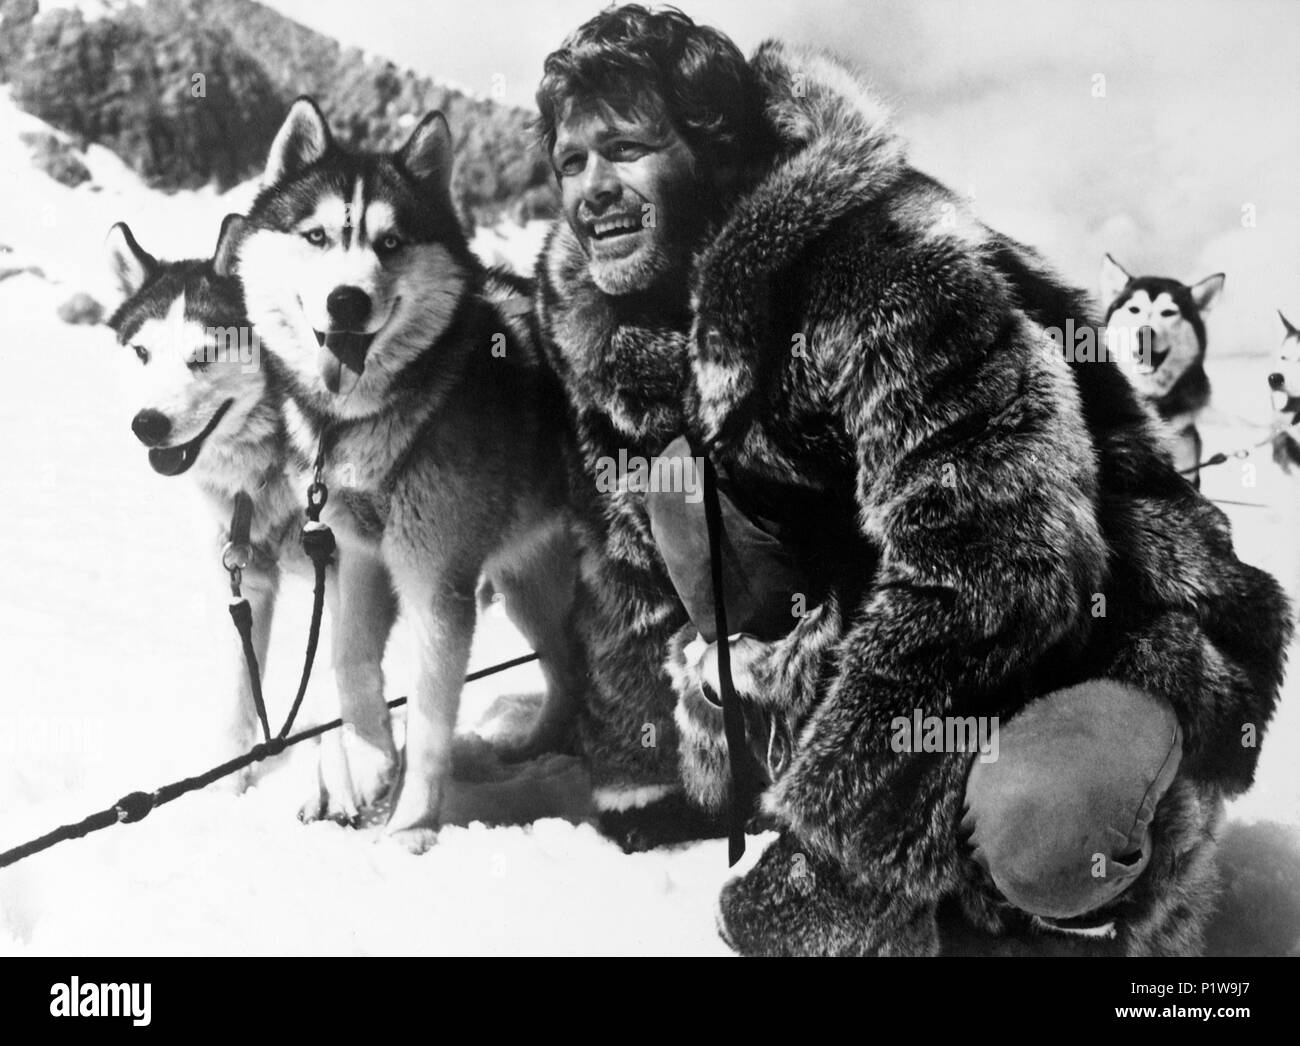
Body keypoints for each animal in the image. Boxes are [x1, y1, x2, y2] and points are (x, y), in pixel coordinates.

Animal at [106, 220, 400, 800]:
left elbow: (338, 670)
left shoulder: (343, 571)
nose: (146, 423)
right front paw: (228, 789)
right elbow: (241, 696)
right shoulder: (246, 581)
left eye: (203, 356)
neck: (263, 479)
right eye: (142, 352)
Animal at [235, 98, 579, 847]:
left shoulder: (436, 585)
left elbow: (427, 719)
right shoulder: (361, 556)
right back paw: (533, 748)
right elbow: (347, 663)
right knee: (571, 667)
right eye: (316, 235)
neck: (366, 422)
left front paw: (411, 831)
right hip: (530, 583)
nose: (347, 302)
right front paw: (368, 766)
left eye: (391, 244)